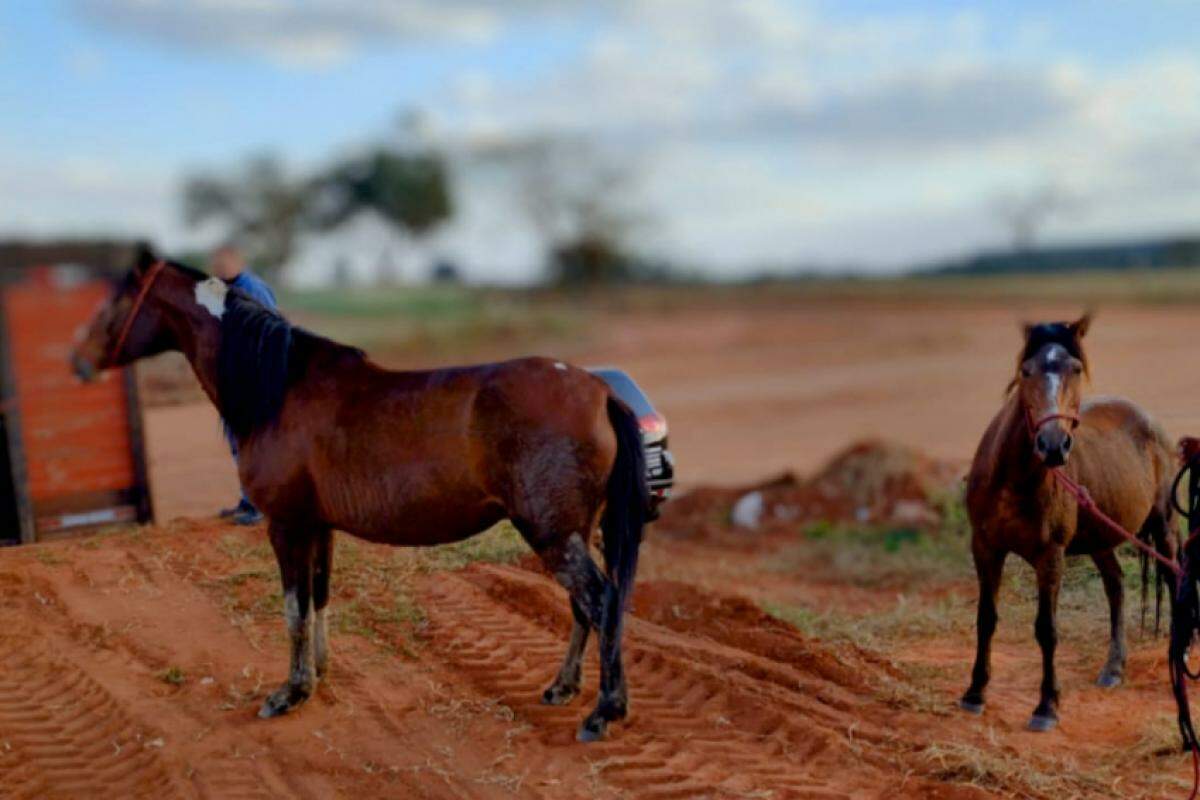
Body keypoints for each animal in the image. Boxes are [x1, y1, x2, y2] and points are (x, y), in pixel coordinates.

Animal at [68, 248, 648, 743]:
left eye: (117, 300)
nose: (77, 361)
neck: (280, 387)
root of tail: (599, 390)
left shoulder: (286, 525)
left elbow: (293, 608)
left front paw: (290, 693)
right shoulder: (319, 526)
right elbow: (319, 598)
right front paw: (318, 674)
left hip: (551, 533)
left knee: (602, 602)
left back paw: (604, 711)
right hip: (571, 530)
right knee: (584, 607)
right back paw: (564, 688)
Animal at [960, 311, 1176, 734]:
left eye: (1075, 368)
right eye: (1025, 370)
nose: (1053, 446)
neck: (1012, 480)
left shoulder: (1051, 555)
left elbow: (1047, 628)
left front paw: (1046, 706)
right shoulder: (985, 547)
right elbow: (986, 618)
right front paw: (975, 693)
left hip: (1162, 525)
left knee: (1174, 577)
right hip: (1101, 539)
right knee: (1116, 586)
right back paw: (1113, 668)